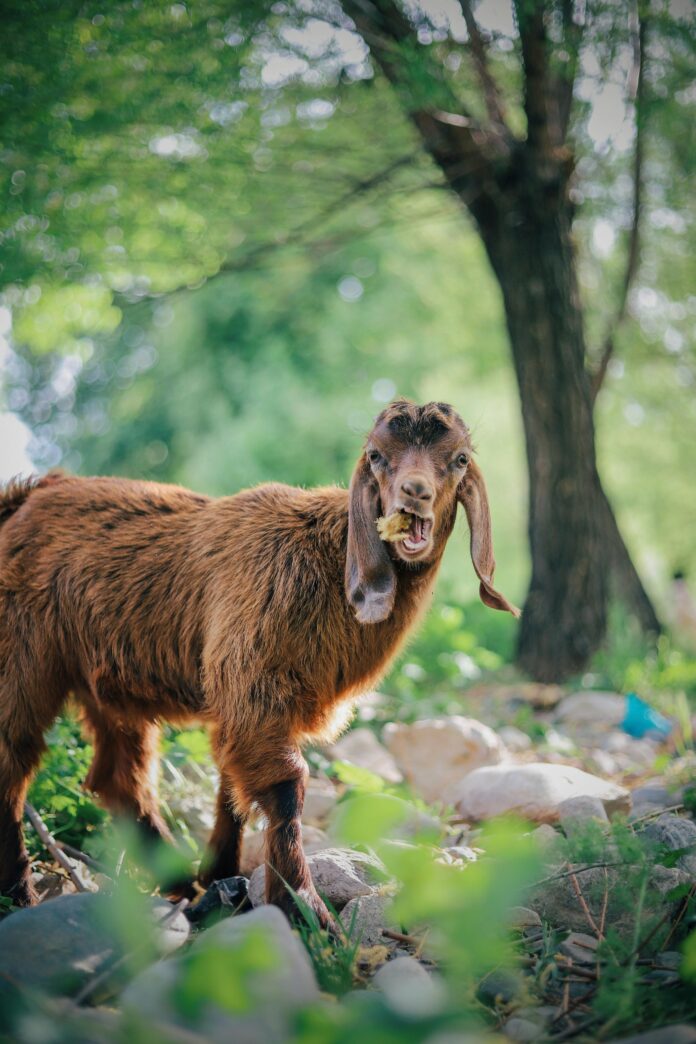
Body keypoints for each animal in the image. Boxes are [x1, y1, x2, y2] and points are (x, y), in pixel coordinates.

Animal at [0, 400, 517, 931]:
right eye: (375, 454)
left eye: (459, 459)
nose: (415, 493)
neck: (328, 560)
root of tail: (27, 496)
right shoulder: (251, 678)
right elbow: (286, 787)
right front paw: (308, 914)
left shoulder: (240, 701)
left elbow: (233, 786)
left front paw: (221, 878)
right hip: (21, 654)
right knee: (12, 758)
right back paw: (21, 893)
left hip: (106, 682)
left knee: (118, 778)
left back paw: (178, 883)